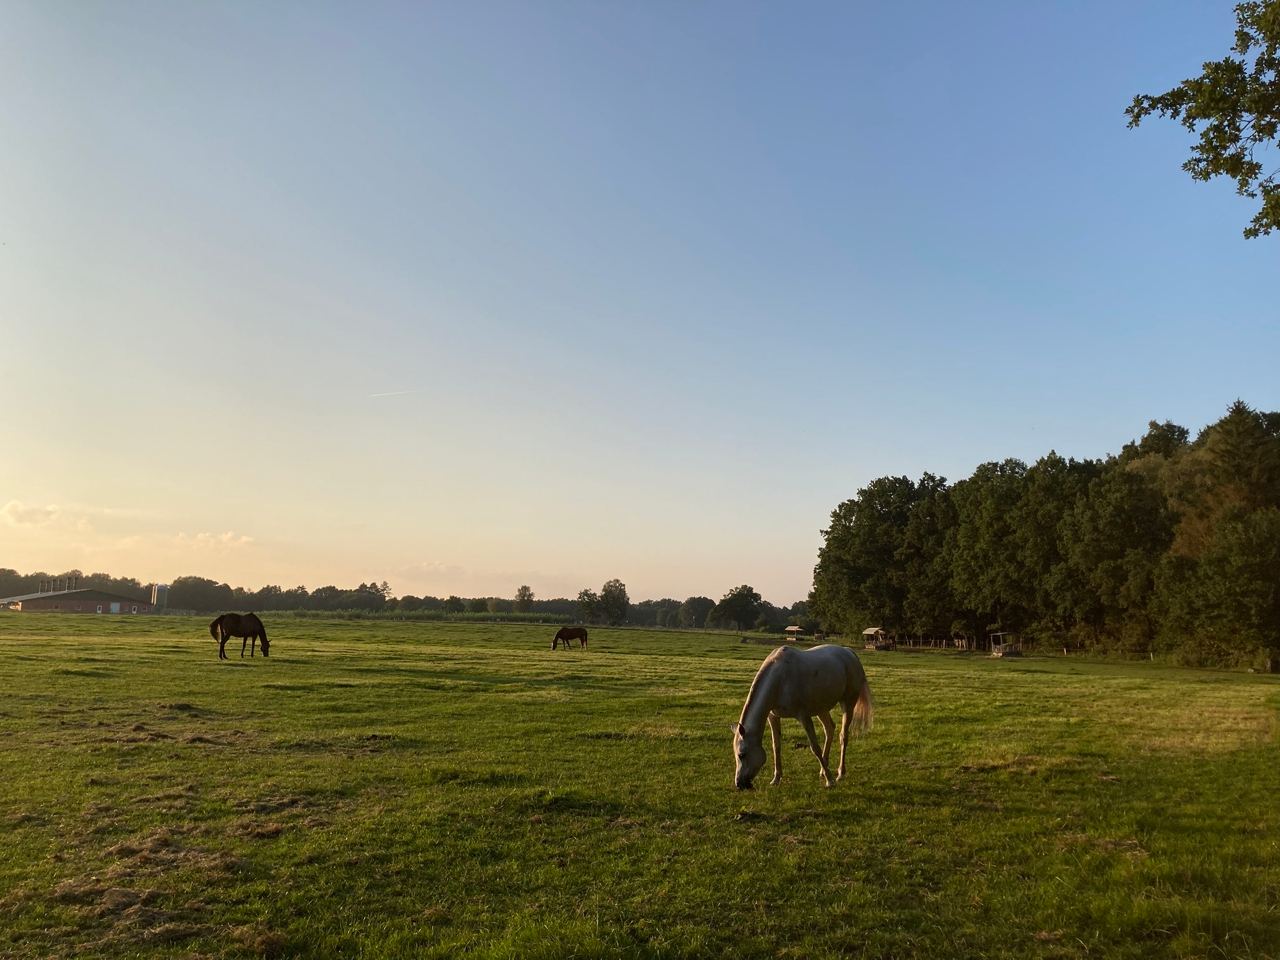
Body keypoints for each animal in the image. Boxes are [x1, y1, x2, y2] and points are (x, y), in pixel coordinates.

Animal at [732, 644, 872, 790]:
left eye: (742, 755)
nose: (739, 784)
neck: (780, 680)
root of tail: (849, 652)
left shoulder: (804, 716)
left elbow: (815, 747)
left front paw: (830, 781)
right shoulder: (773, 717)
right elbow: (776, 746)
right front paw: (776, 779)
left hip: (848, 703)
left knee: (843, 736)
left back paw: (840, 773)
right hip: (821, 708)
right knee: (829, 729)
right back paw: (823, 770)